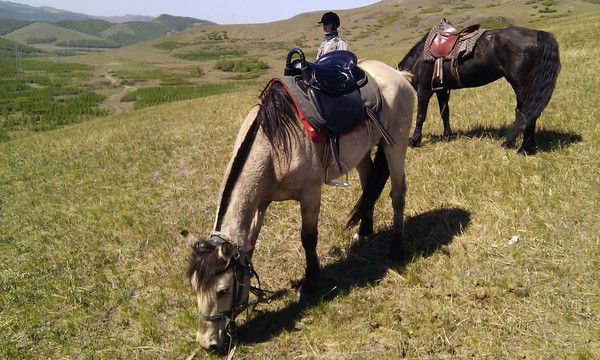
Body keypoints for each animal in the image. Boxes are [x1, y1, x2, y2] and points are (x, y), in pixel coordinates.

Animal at [183, 59, 414, 352]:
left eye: (222, 291)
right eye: (194, 288)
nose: (208, 344)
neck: (274, 147)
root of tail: (398, 74)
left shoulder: (310, 194)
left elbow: (308, 238)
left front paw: (311, 282)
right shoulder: (261, 203)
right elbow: (249, 247)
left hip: (395, 148)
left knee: (397, 194)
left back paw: (397, 247)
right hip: (363, 151)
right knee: (368, 187)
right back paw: (364, 231)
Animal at [398, 24, 564, 154]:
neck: (419, 58)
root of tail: (537, 34)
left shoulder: (424, 90)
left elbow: (420, 116)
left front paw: (414, 141)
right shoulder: (441, 89)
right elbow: (444, 113)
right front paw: (447, 136)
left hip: (521, 84)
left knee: (525, 112)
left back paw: (522, 149)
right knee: (529, 112)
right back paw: (520, 146)